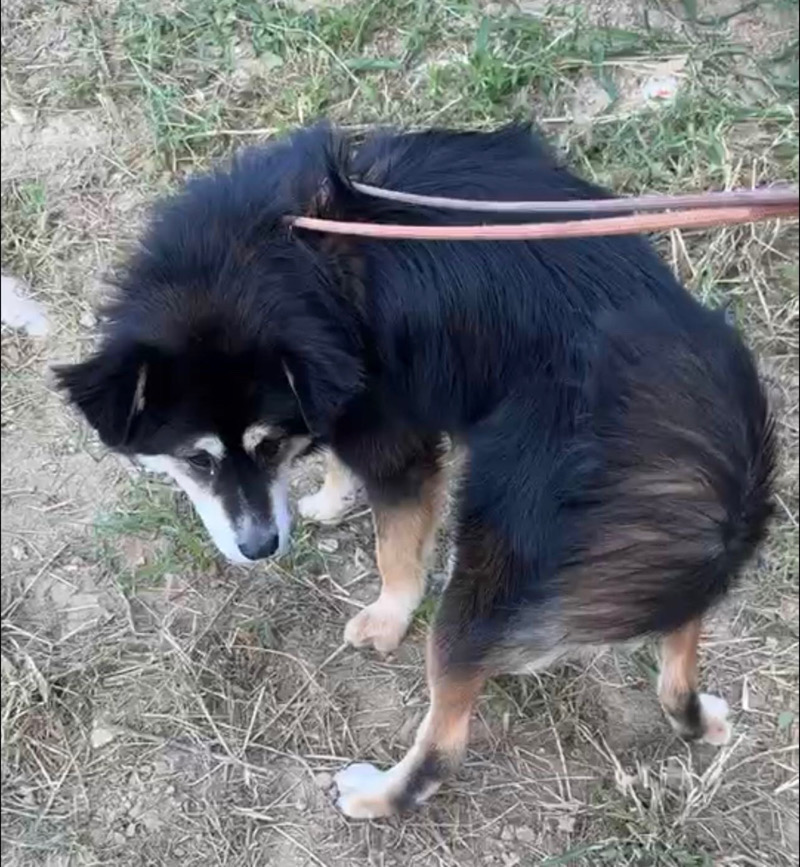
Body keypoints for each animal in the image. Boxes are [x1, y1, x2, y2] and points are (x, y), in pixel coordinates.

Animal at [57, 124, 776, 820]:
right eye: (196, 457)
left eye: (265, 446)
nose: (261, 547)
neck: (284, 255)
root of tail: (716, 473)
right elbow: (339, 464)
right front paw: (328, 500)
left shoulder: (390, 436)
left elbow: (396, 548)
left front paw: (385, 617)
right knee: (679, 657)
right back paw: (697, 714)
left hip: (494, 567)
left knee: (446, 742)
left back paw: (375, 797)